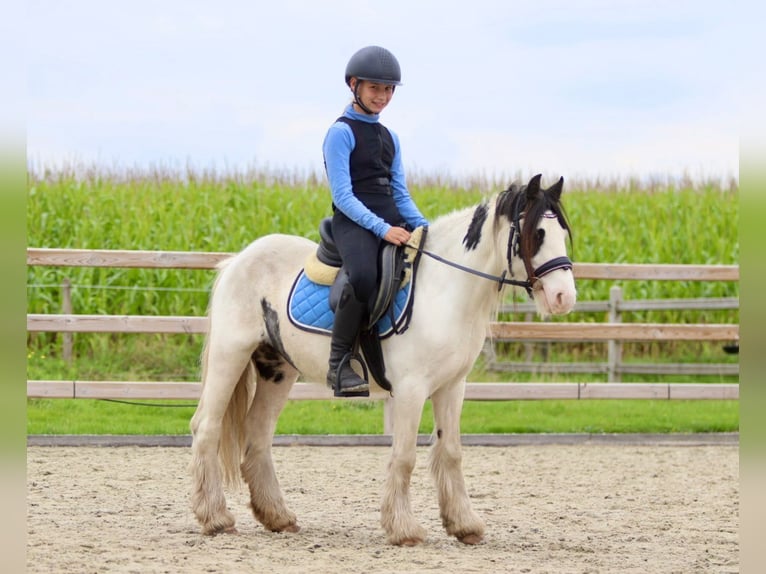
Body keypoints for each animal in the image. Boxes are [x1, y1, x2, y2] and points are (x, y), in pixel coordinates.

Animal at [190, 173, 576, 548]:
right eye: (537, 234)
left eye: (563, 234)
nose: (564, 297)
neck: (445, 290)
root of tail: (237, 260)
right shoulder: (411, 390)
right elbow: (404, 456)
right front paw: (404, 530)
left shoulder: (452, 386)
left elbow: (451, 451)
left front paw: (464, 525)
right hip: (231, 354)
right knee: (207, 426)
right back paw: (215, 518)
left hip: (277, 370)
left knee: (258, 435)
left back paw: (277, 517)